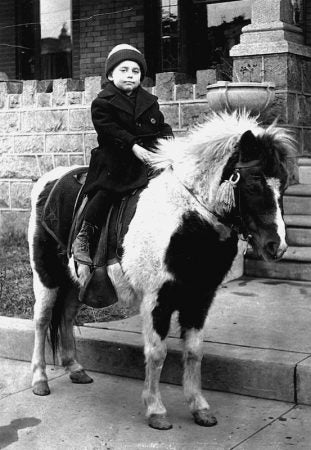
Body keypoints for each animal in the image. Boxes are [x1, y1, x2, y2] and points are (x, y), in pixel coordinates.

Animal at [27, 111, 294, 428]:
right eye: (253, 184)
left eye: (284, 185)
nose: (276, 246)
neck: (186, 216)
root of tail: (49, 180)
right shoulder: (157, 299)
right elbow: (157, 353)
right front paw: (155, 409)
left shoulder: (200, 297)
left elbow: (194, 351)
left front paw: (199, 407)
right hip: (46, 277)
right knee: (42, 321)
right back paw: (40, 380)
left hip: (74, 281)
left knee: (66, 316)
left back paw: (75, 369)